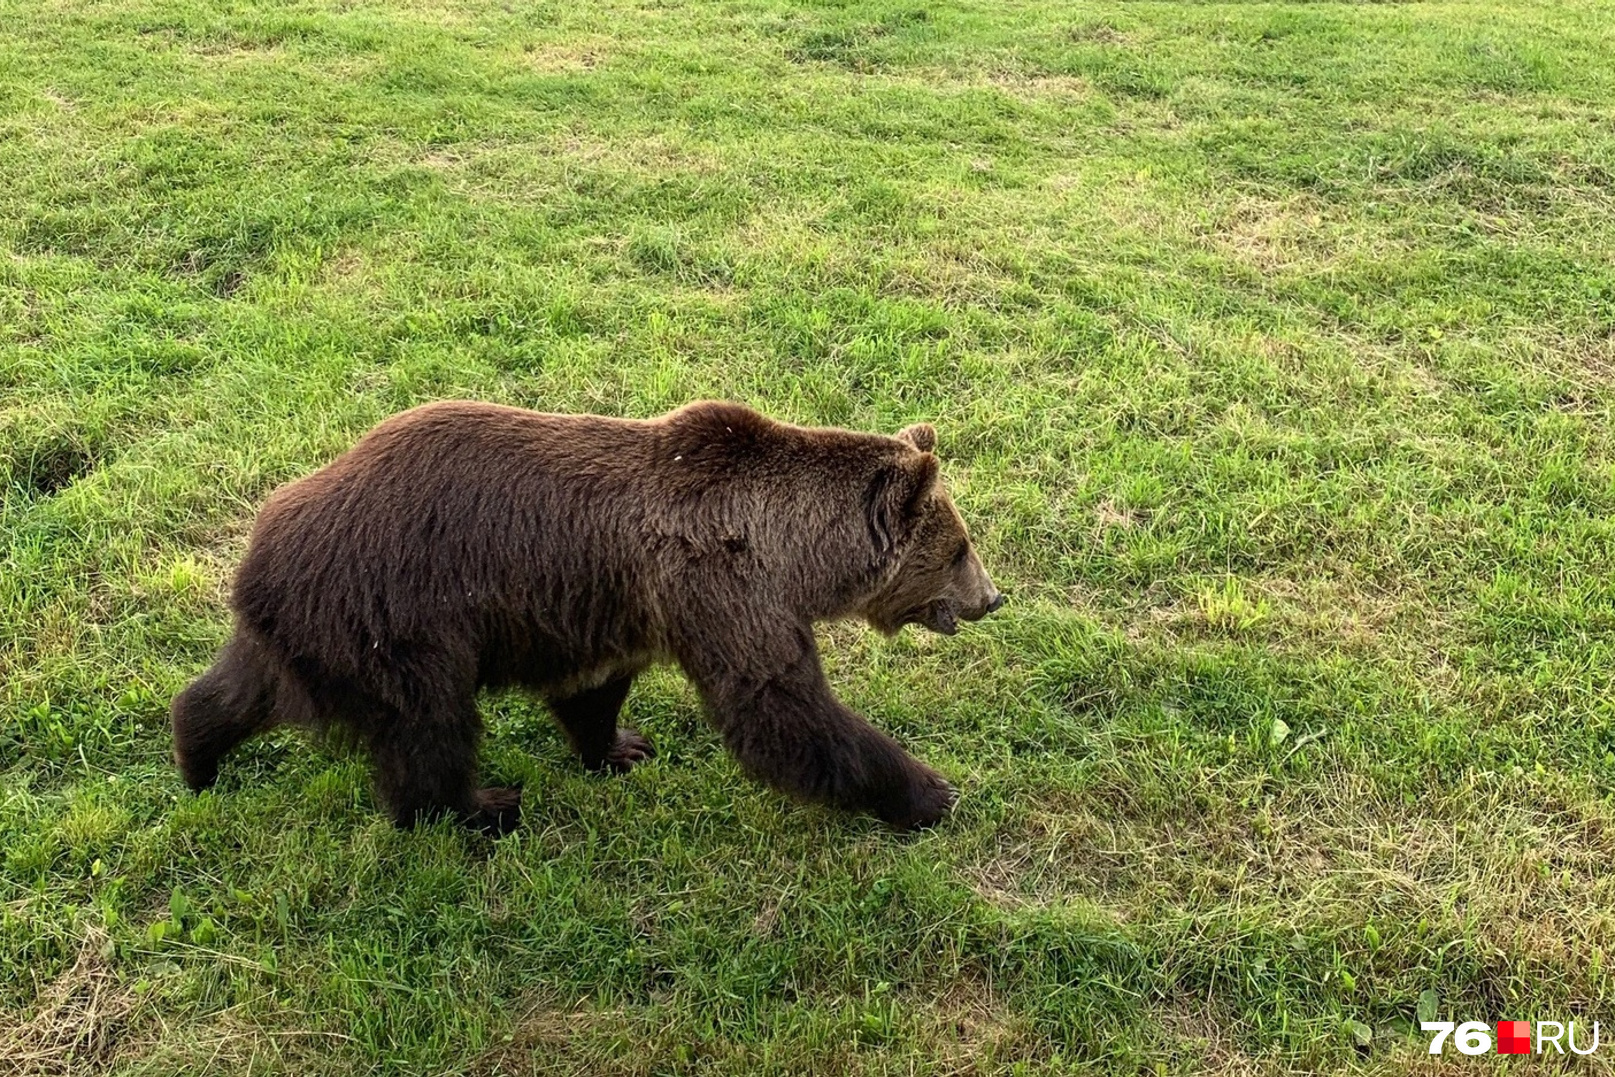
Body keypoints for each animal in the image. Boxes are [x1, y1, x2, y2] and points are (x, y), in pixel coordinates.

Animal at [170, 402, 1001, 833]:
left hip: (310, 632)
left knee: (239, 691)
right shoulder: (719, 587)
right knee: (428, 731)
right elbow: (782, 710)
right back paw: (482, 807)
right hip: (397, 620)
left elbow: (593, 690)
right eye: (959, 547)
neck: (789, 547)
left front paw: (623, 746)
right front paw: (929, 790)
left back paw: (196, 757)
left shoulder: (616, 603)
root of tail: (258, 561)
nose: (992, 597)